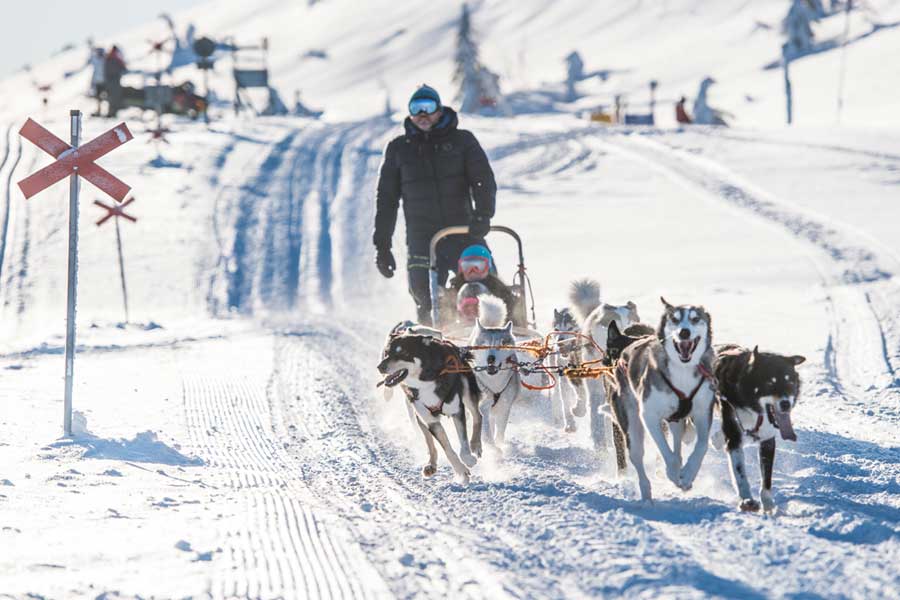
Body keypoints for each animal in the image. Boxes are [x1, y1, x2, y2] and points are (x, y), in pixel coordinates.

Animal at [376, 328, 482, 482]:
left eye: (404, 353)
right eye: (386, 352)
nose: (380, 367)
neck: (425, 381)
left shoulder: (457, 411)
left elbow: (463, 441)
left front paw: (468, 459)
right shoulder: (431, 421)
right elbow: (447, 448)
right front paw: (461, 471)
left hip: (468, 391)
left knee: (478, 415)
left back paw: (476, 445)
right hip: (420, 417)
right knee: (429, 442)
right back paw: (431, 464)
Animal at [472, 298, 520, 448]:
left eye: (501, 344)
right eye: (484, 344)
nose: (490, 358)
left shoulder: (504, 407)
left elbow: (500, 432)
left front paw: (499, 445)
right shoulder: (482, 406)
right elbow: (486, 431)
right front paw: (493, 447)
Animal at [612, 298, 716, 502]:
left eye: (695, 319)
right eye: (674, 319)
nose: (684, 332)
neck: (682, 371)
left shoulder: (703, 412)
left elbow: (702, 445)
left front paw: (689, 473)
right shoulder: (649, 416)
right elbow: (666, 453)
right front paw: (674, 473)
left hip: (676, 419)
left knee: (677, 440)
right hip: (631, 423)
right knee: (637, 456)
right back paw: (646, 493)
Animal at [712, 344, 804, 512]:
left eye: (790, 382)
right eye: (770, 383)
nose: (786, 404)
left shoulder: (767, 440)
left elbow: (766, 479)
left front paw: (767, 504)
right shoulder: (734, 437)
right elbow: (740, 473)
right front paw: (747, 500)